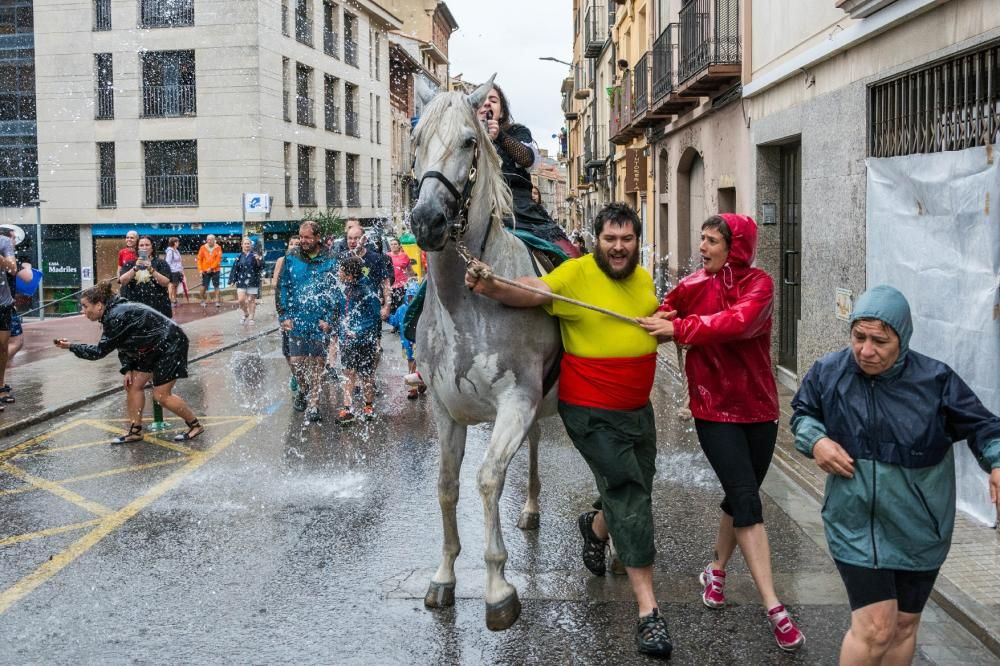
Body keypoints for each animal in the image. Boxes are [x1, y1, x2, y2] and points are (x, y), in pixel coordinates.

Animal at [406, 78, 564, 628]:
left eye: (470, 141)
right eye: (416, 141)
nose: (427, 220)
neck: (467, 298)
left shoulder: (515, 401)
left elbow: (489, 478)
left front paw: (498, 587)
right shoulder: (445, 411)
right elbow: (448, 484)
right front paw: (444, 576)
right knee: (534, 445)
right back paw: (532, 509)